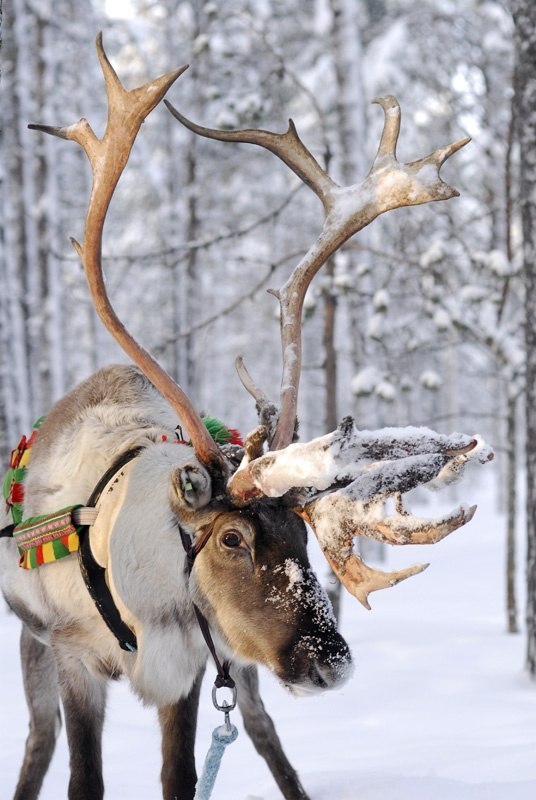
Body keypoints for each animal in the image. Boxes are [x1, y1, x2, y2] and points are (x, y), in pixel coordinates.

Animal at [0, 35, 492, 800]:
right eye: (231, 537)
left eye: (302, 532)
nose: (330, 662)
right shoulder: (77, 660)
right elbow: (84, 776)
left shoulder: (193, 669)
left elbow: (181, 776)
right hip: (38, 644)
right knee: (37, 740)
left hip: (241, 655)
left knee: (262, 729)